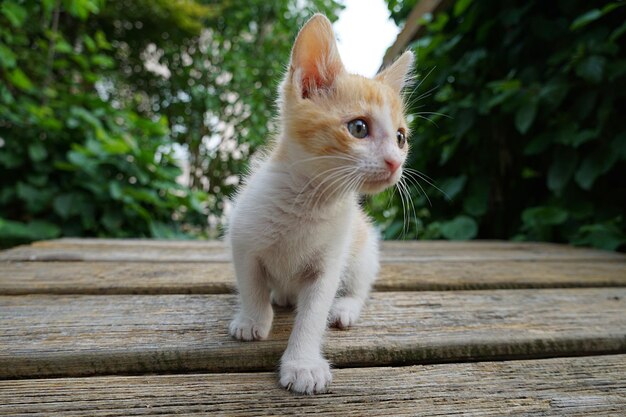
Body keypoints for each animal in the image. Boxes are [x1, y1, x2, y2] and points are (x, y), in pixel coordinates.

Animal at [227, 13, 412, 394]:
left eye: (401, 138)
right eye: (359, 128)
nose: (394, 162)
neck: (308, 202)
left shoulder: (329, 263)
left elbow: (313, 315)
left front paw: (303, 364)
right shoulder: (242, 238)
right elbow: (251, 283)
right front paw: (253, 319)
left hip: (364, 250)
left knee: (360, 285)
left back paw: (345, 308)